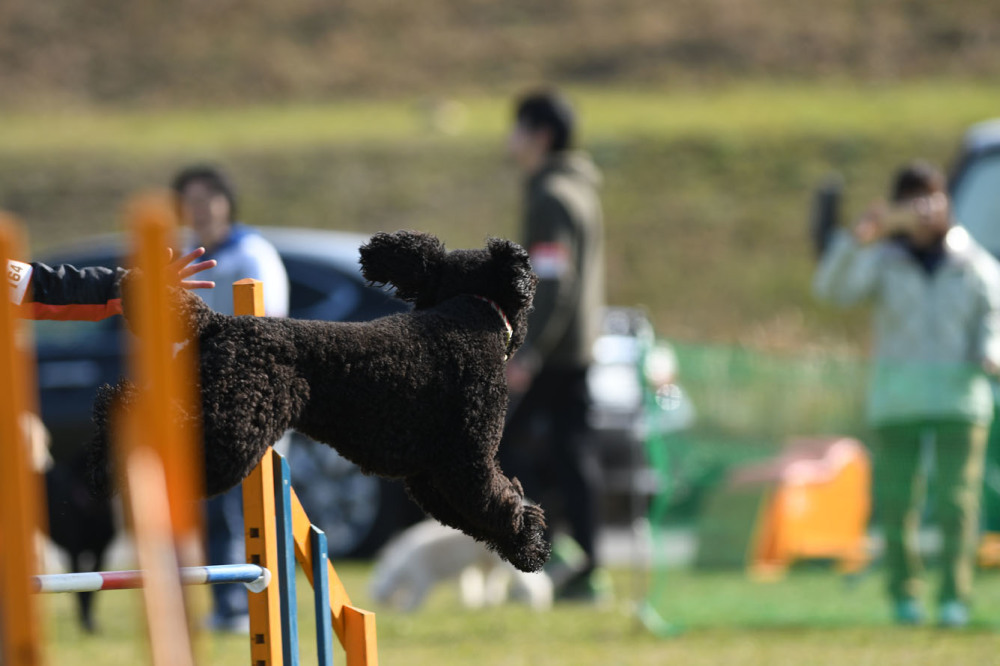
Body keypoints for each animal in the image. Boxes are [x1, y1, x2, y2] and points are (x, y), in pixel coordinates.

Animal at [90, 230, 552, 572]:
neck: (468, 312)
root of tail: (218, 322)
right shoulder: (468, 460)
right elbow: (501, 502)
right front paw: (529, 544)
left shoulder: (429, 475)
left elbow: (476, 513)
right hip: (236, 427)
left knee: (132, 404)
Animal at [368, 520, 556, 612]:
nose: (388, 611)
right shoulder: (461, 575)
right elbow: (467, 589)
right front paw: (470, 604)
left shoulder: (422, 575)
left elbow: (417, 596)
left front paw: (407, 610)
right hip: (488, 563)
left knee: (533, 582)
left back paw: (537, 603)